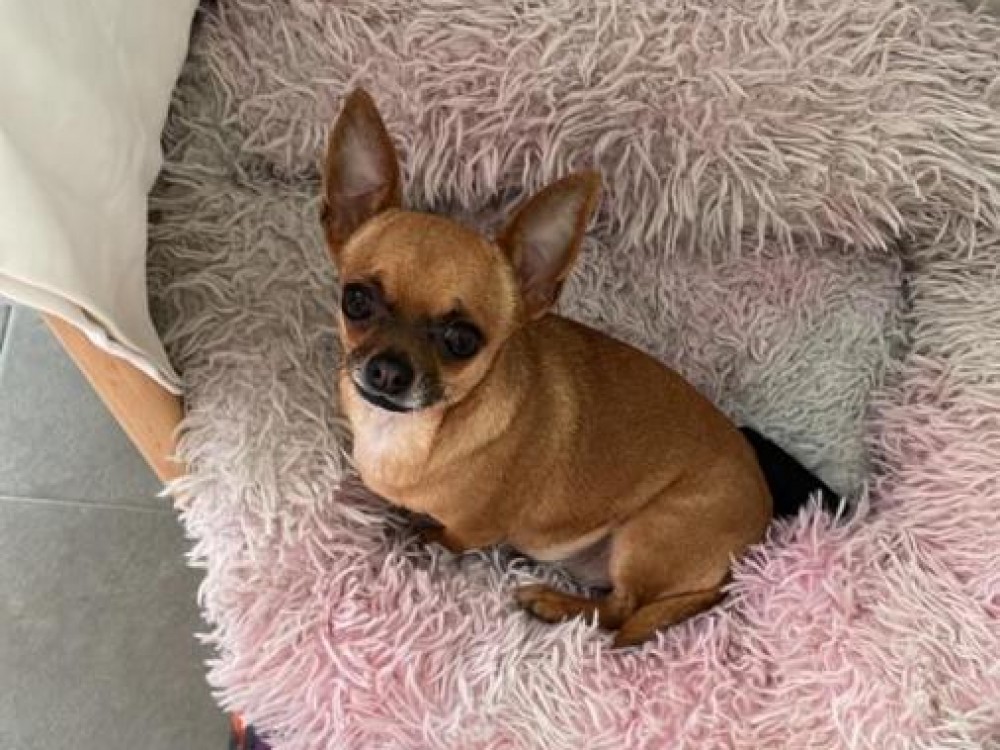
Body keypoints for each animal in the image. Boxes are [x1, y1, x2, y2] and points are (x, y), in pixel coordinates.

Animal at [321, 89, 836, 647]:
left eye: (462, 340)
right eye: (356, 300)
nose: (389, 371)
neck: (414, 431)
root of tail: (758, 523)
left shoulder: (470, 530)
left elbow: (445, 537)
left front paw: (418, 535)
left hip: (650, 532)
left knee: (619, 613)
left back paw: (554, 604)